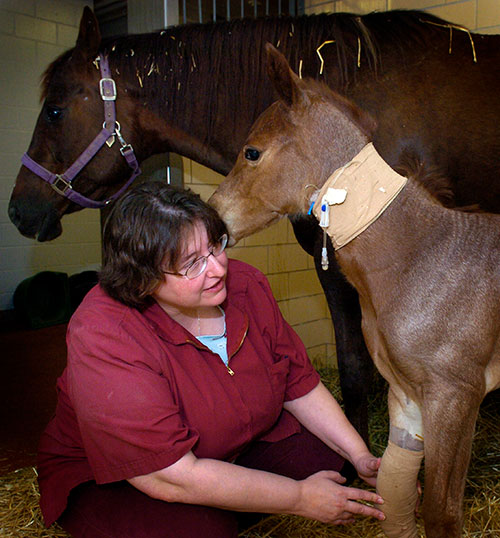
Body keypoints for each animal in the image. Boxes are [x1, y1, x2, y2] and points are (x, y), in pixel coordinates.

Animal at [209, 45, 500, 536]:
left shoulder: (456, 395)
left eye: (251, 152)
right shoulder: (407, 396)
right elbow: (395, 491)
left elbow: (442, 513)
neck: (421, 255)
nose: (213, 217)